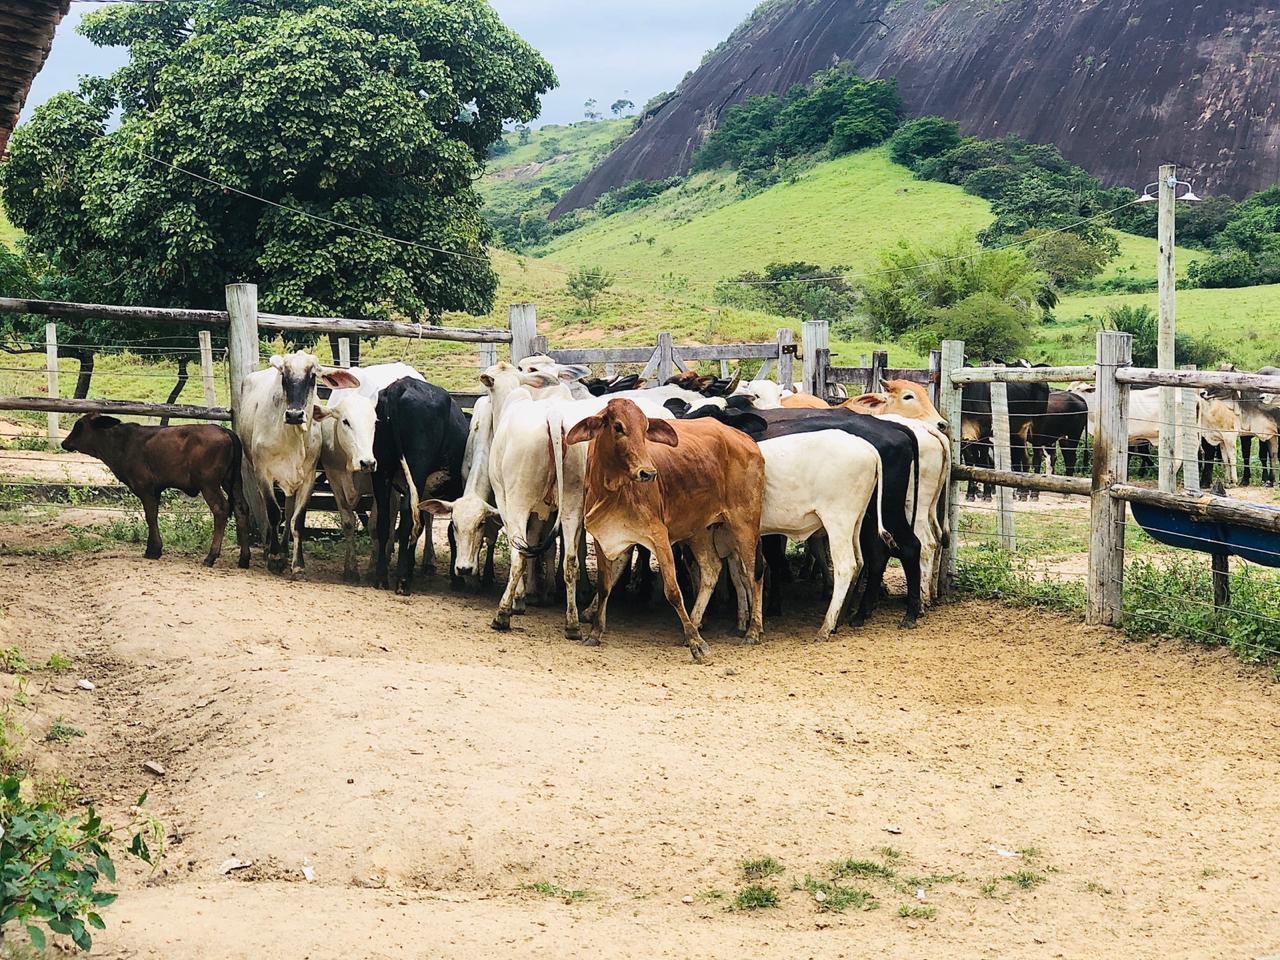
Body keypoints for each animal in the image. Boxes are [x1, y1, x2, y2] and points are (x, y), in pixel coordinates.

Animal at [61, 414, 252, 568]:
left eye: (79, 426)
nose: (64, 443)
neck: (123, 442)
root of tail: (224, 430)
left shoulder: (146, 488)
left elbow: (150, 516)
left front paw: (153, 550)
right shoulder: (156, 490)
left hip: (209, 484)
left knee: (221, 509)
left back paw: (211, 556)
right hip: (233, 481)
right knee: (241, 508)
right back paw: (244, 558)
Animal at [238, 353, 358, 578]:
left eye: (312, 377)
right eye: (284, 376)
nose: (294, 415)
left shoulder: (309, 476)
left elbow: (297, 520)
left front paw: (298, 564)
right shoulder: (263, 473)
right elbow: (273, 514)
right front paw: (275, 558)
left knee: (288, 510)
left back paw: (285, 551)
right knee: (267, 511)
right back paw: (270, 549)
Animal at [373, 378, 468, 599]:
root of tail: (401, 385)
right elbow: (452, 532)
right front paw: (456, 578)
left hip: (382, 470)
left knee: (385, 518)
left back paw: (381, 577)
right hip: (416, 469)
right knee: (407, 515)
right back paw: (402, 581)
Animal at [568, 399, 762, 660]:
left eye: (645, 428)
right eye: (618, 427)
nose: (648, 473)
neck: (611, 490)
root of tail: (745, 438)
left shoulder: (659, 536)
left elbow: (673, 591)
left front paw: (696, 644)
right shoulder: (603, 538)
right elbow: (605, 585)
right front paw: (595, 634)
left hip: (745, 525)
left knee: (754, 573)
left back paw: (753, 631)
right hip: (699, 529)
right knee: (711, 568)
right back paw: (695, 623)